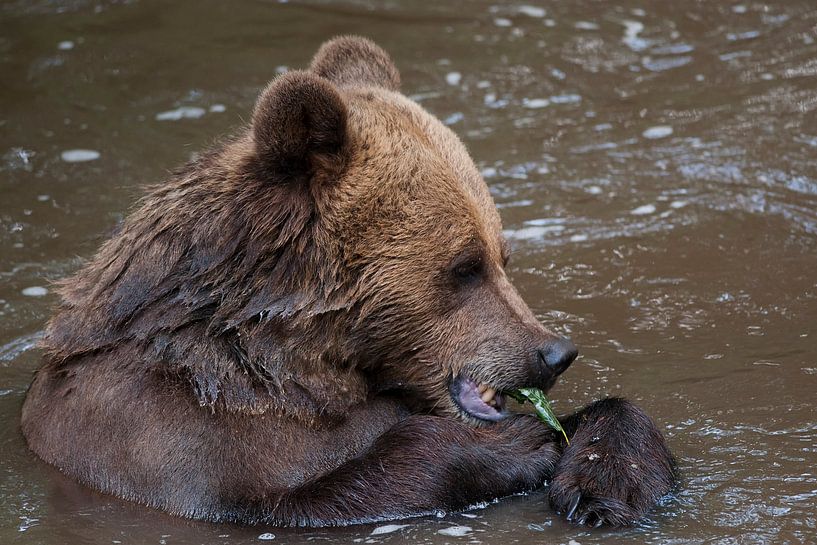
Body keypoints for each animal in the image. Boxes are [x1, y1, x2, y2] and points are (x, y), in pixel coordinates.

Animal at [19, 35, 676, 528]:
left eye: (502, 256)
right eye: (465, 266)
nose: (554, 351)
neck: (282, 359)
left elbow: (608, 417)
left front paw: (602, 484)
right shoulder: (169, 438)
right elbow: (316, 491)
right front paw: (520, 443)